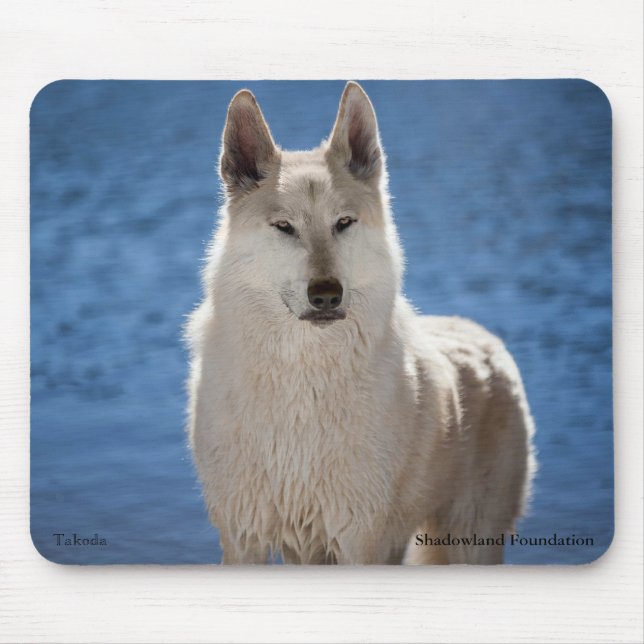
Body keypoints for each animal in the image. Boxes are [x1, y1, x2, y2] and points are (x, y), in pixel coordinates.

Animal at [186, 82, 536, 564]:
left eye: (344, 223)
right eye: (284, 227)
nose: (326, 295)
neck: (303, 383)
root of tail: (481, 334)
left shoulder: (360, 540)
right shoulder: (244, 540)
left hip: (469, 542)